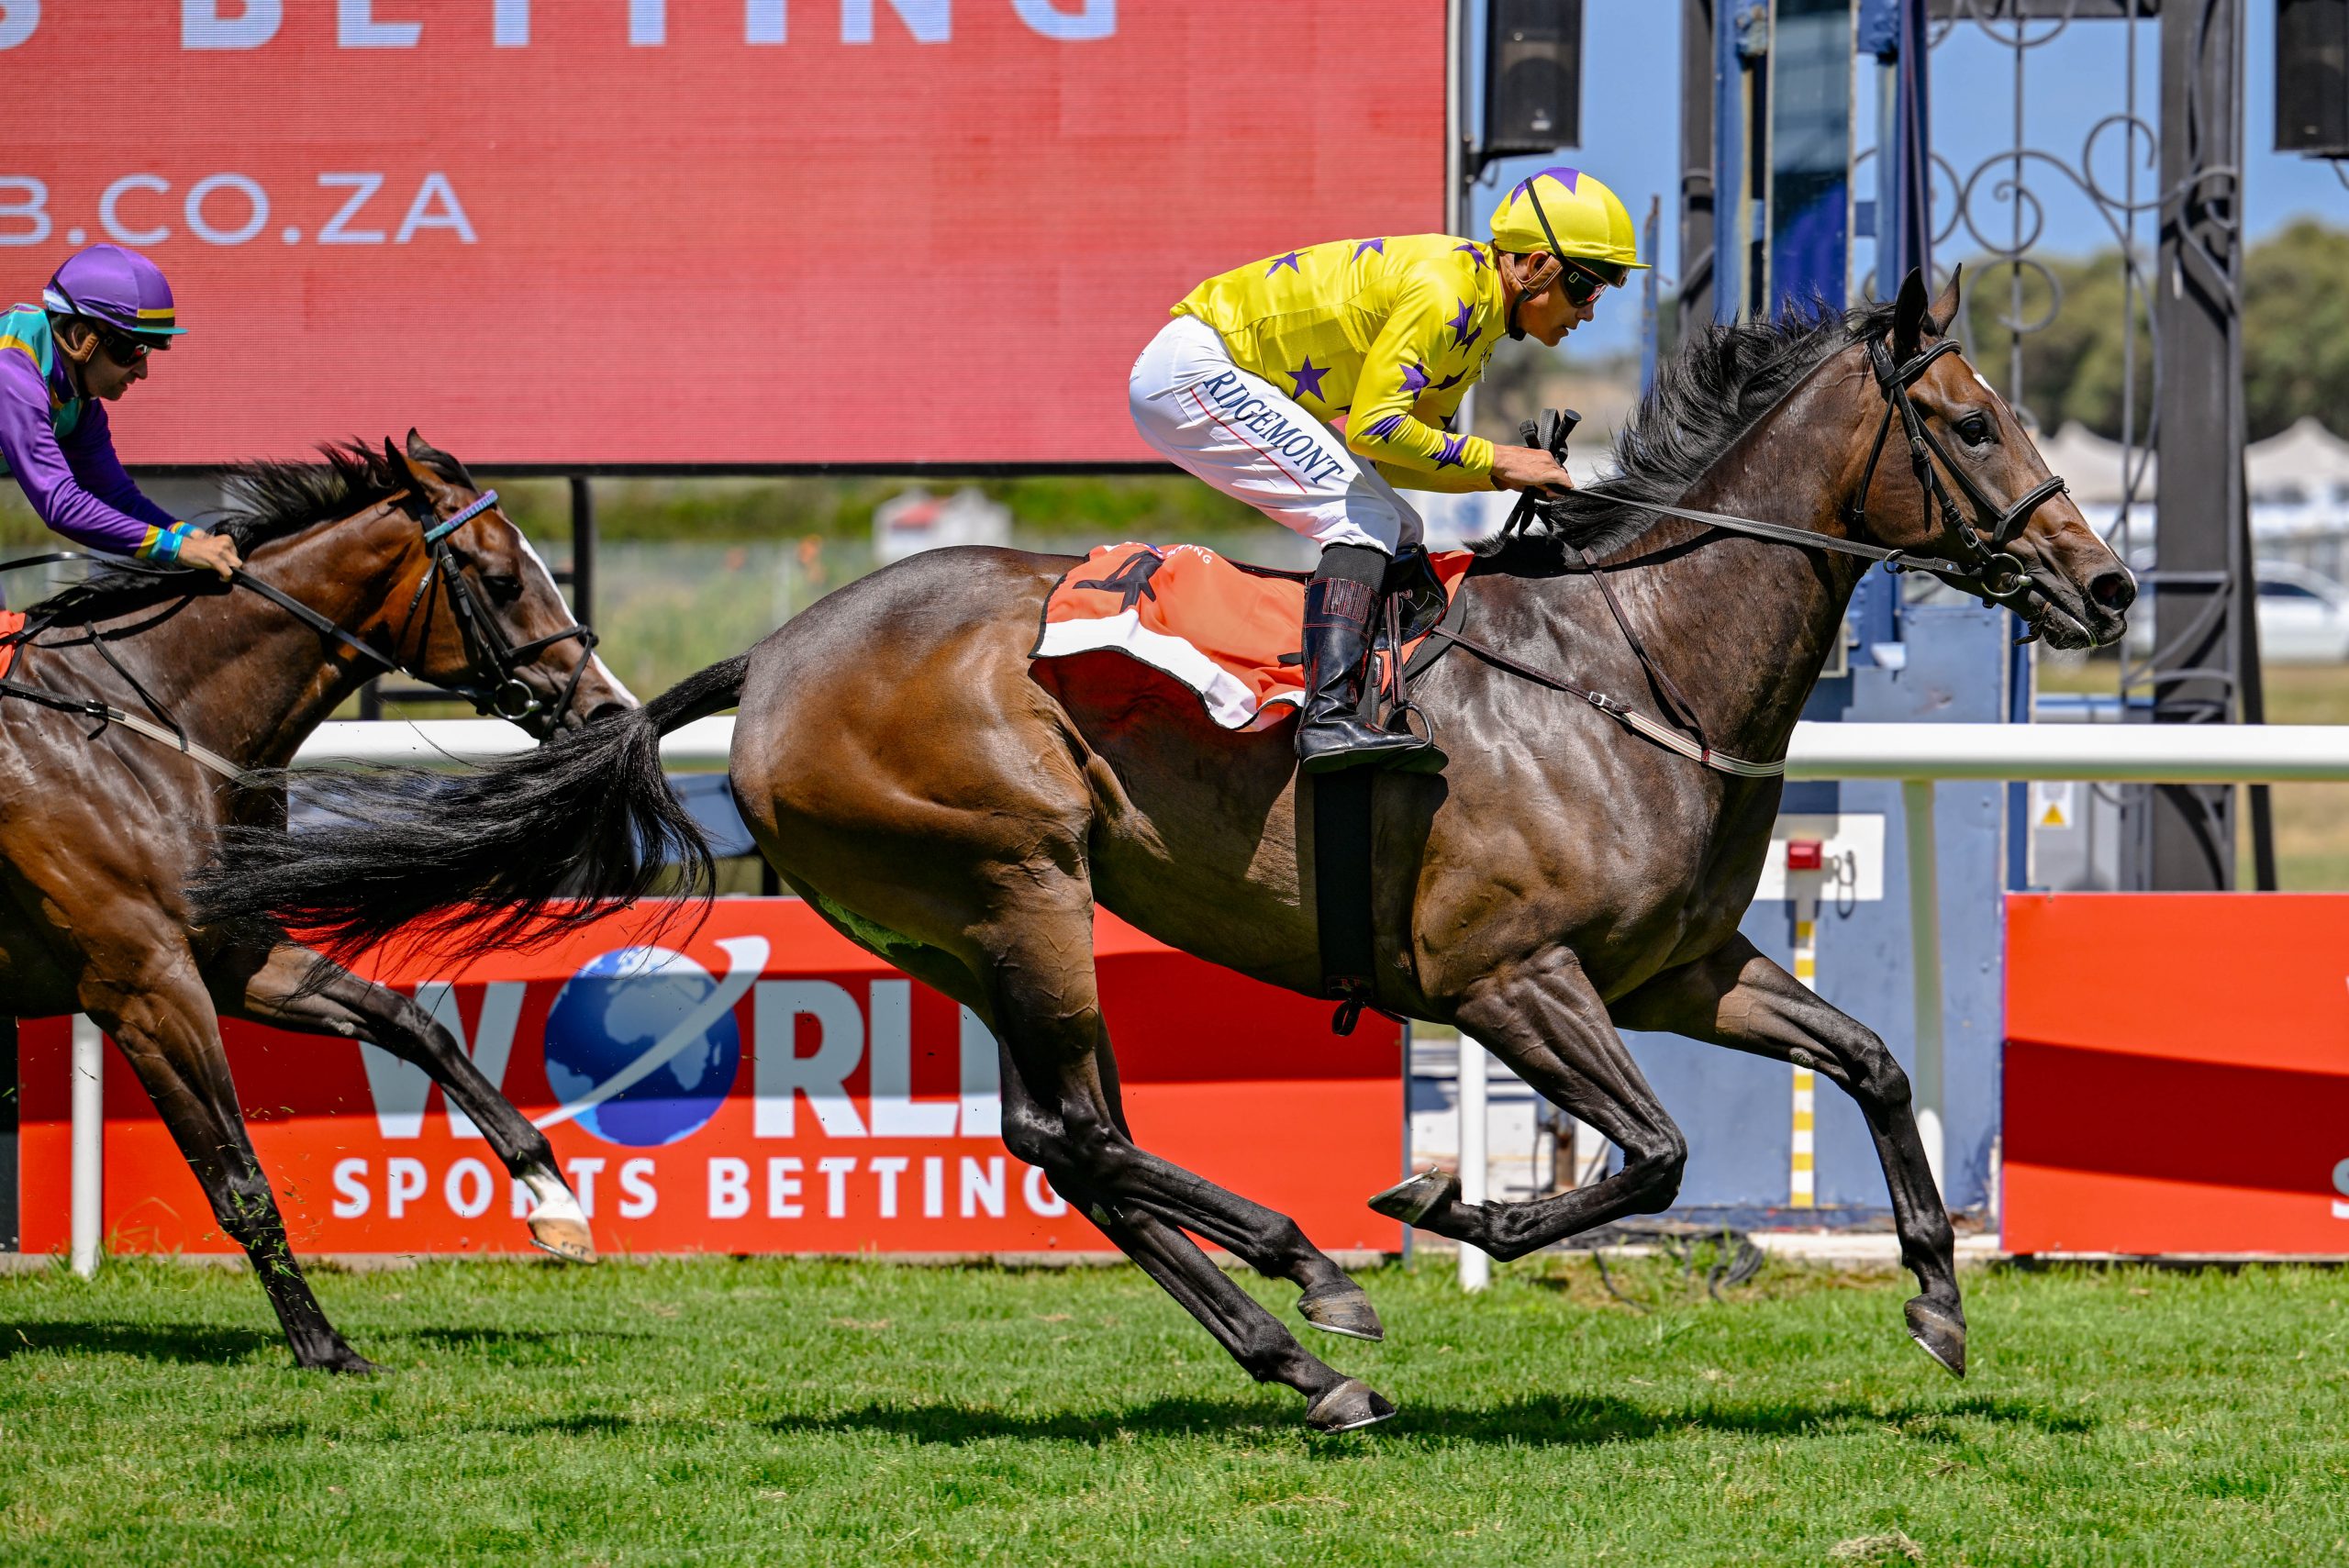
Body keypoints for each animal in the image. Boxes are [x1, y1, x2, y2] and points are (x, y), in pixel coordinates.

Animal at [5, 431, 629, 1371]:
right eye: (501, 581)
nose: (606, 710)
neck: (139, 731)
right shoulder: (143, 986)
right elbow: (239, 1180)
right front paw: (322, 1343)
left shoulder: (233, 950)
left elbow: (412, 1023)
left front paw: (552, 1197)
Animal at [202, 278, 2132, 1418]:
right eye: (1972, 423)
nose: (2108, 585)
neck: (1626, 658)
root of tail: (781, 648)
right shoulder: (1506, 974)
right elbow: (1649, 1154)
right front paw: (1461, 1200)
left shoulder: (1682, 968)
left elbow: (1872, 1059)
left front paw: (1941, 1304)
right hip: (1020, 883)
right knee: (1075, 1129)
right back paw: (1313, 1279)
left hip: (960, 922)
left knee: (1063, 1137)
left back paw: (1294, 1338)